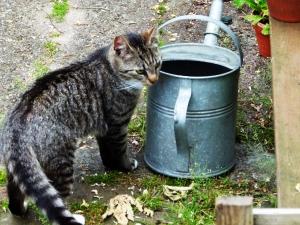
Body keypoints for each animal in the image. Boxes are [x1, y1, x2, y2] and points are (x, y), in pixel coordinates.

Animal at [1, 28, 162, 225]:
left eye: (157, 65)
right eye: (140, 70)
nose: (154, 79)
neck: (111, 68)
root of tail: (19, 120)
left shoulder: (104, 128)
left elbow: (106, 151)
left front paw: (110, 165)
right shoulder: (117, 124)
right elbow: (120, 150)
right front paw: (126, 165)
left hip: (16, 167)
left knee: (15, 193)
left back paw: (21, 209)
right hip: (61, 161)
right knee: (56, 197)